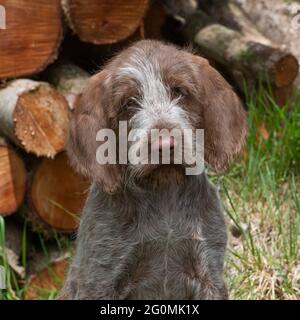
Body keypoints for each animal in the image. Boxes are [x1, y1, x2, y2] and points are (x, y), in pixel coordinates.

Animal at [58, 40, 246, 300]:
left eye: (179, 92)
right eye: (129, 103)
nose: (165, 145)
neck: (163, 190)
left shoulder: (209, 273)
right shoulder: (100, 280)